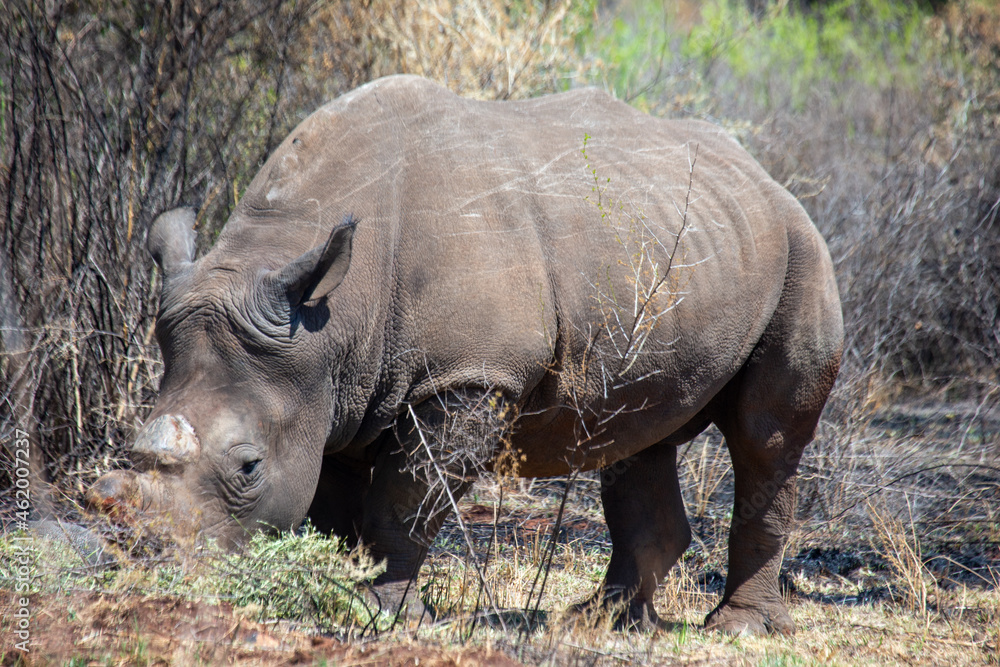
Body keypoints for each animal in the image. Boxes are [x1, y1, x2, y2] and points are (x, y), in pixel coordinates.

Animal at [87, 75, 843, 635]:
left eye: (247, 467)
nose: (158, 573)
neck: (333, 321)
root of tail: (764, 175)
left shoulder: (470, 380)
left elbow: (406, 497)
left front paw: (380, 609)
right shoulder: (327, 387)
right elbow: (332, 500)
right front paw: (331, 579)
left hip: (801, 246)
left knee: (765, 438)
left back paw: (736, 628)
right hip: (670, 248)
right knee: (634, 433)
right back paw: (596, 623)